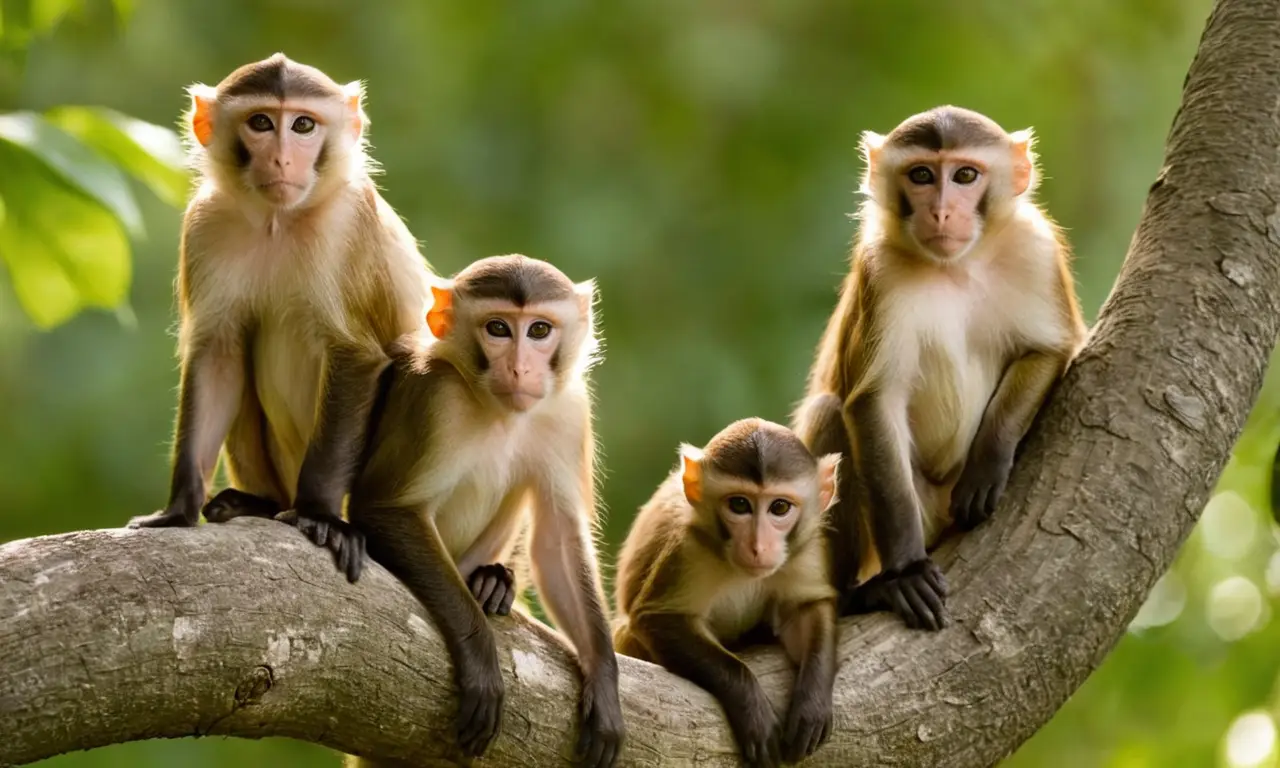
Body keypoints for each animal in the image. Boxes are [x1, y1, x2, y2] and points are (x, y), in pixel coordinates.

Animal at [126, 53, 433, 584]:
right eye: (261, 123)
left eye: (303, 125)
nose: (282, 159)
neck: (278, 221)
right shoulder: (207, 224)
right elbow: (219, 357)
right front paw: (178, 510)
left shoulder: (347, 221)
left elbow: (356, 354)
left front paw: (319, 515)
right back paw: (260, 504)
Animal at [333, 254, 624, 767]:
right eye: (498, 329)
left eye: (539, 330)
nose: (521, 368)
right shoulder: (437, 398)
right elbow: (387, 509)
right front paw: (481, 658)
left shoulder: (567, 411)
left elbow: (557, 541)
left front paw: (604, 680)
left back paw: (491, 583)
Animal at [612, 418, 842, 768]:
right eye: (739, 505)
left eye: (779, 507)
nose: (758, 546)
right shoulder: (687, 549)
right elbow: (657, 618)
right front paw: (753, 710)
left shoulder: (805, 548)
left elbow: (805, 609)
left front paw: (811, 704)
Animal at [791, 105, 1087, 632]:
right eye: (922, 176)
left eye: (965, 175)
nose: (942, 211)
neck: (956, 268)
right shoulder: (881, 274)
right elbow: (872, 402)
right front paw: (906, 571)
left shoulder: (1036, 250)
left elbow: (1049, 349)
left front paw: (988, 462)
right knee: (830, 415)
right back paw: (858, 594)